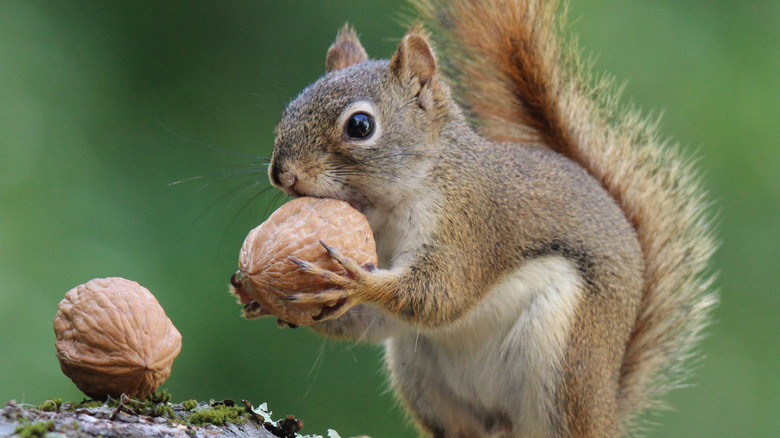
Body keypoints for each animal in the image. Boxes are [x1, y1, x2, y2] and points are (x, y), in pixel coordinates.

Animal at [264, 0, 717, 436]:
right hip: (420, 372)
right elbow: (374, 322)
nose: (282, 173)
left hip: (566, 363)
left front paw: (354, 281)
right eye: (289, 110)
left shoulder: (469, 223)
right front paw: (264, 296)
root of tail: (606, 408)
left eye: (360, 126)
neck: (388, 206)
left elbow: (440, 294)